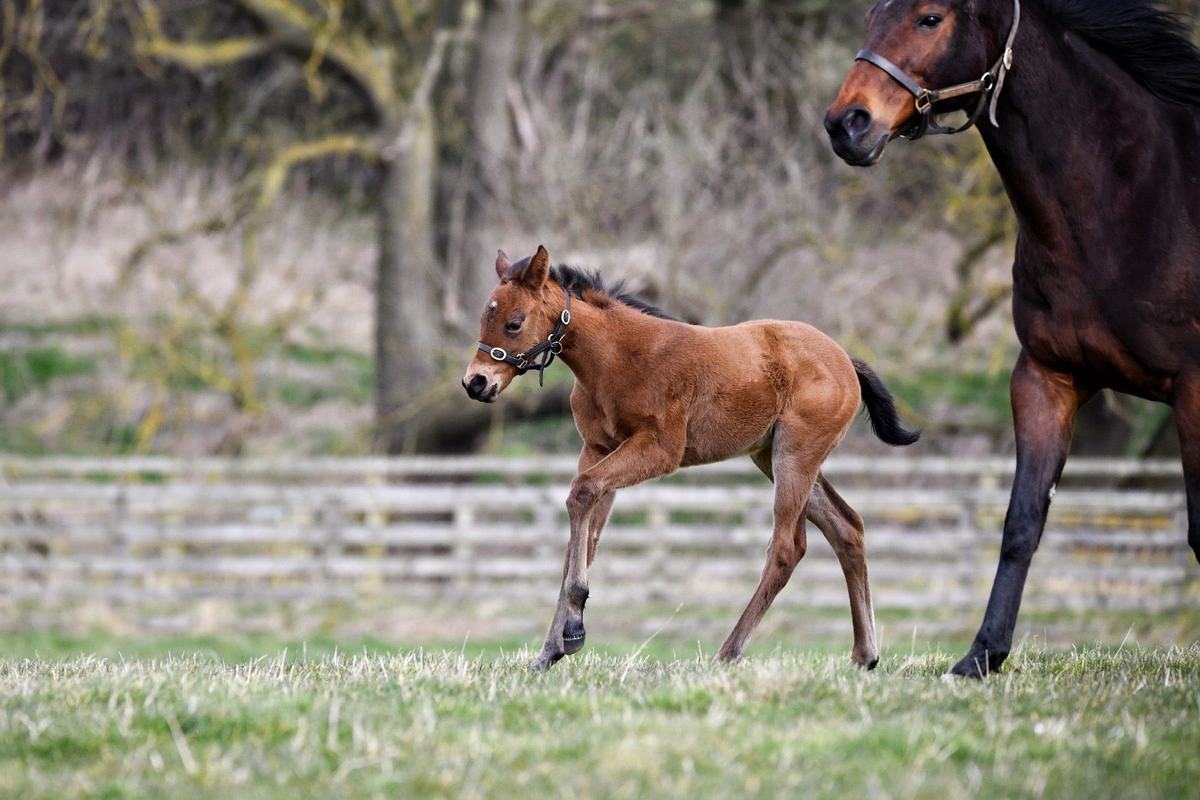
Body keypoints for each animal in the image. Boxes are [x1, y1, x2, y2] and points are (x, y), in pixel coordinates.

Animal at [461, 245, 920, 670]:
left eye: (514, 323)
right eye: (485, 318)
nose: (475, 383)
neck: (617, 358)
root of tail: (845, 360)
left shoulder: (659, 448)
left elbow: (581, 493)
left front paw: (572, 629)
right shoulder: (597, 448)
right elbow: (584, 534)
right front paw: (551, 649)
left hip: (796, 452)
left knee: (788, 547)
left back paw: (728, 653)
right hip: (772, 455)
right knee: (848, 527)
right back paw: (864, 654)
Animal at [825, 0, 1200, 678]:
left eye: (930, 18)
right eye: (871, 15)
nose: (847, 124)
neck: (1133, 202)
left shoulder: (1193, 389)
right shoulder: (1047, 378)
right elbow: (1021, 521)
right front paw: (981, 655)